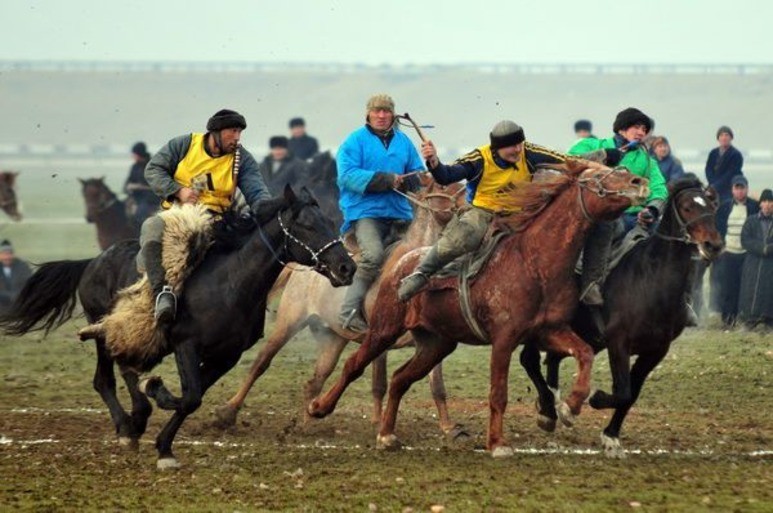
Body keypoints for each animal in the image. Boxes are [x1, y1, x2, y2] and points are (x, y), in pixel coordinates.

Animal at [0, 186, 356, 470]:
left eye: (330, 222)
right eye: (307, 225)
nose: (346, 267)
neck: (229, 282)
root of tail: (92, 262)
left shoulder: (225, 356)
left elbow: (191, 397)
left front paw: (162, 440)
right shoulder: (187, 344)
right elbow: (189, 397)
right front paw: (156, 403)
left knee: (126, 369)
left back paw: (138, 414)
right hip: (104, 330)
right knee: (104, 379)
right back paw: (127, 427)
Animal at [214, 177, 468, 436]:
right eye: (446, 188)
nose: (470, 206)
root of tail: (305, 268)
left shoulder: (430, 337)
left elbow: (436, 385)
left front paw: (449, 428)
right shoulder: (383, 337)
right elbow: (380, 382)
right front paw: (380, 423)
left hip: (333, 339)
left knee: (314, 381)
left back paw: (308, 421)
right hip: (288, 324)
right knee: (260, 364)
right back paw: (228, 412)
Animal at [308, 161, 652, 456]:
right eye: (597, 176)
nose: (640, 182)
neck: (534, 261)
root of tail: (400, 263)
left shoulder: (548, 331)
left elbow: (584, 353)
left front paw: (570, 407)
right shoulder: (504, 339)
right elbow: (498, 394)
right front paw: (497, 443)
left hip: (437, 343)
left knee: (400, 378)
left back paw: (387, 435)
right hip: (384, 329)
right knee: (354, 365)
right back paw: (319, 407)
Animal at [520, 176, 724, 456]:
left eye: (712, 207)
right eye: (686, 207)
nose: (713, 245)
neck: (651, 282)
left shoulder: (656, 350)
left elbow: (632, 393)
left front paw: (611, 435)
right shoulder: (619, 343)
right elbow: (623, 391)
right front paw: (594, 399)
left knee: (551, 359)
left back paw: (557, 402)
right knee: (529, 359)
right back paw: (550, 411)